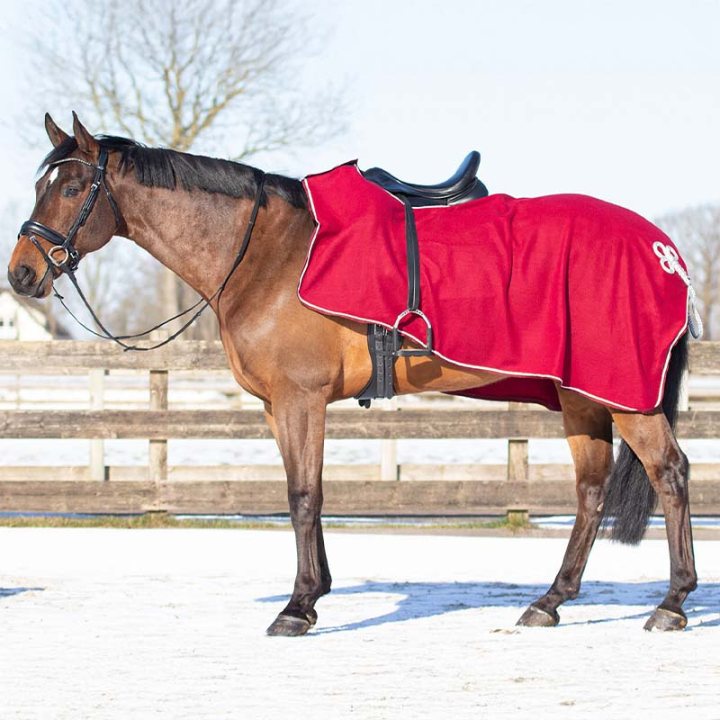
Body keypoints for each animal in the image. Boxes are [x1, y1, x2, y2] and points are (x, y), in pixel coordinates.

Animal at [7, 113, 697, 636]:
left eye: (70, 188)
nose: (21, 273)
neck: (267, 254)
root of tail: (664, 250)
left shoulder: (300, 400)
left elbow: (303, 497)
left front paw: (296, 607)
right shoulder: (278, 407)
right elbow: (307, 493)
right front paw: (314, 595)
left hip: (625, 395)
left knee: (669, 473)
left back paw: (671, 603)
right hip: (581, 395)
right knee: (590, 492)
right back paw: (549, 602)